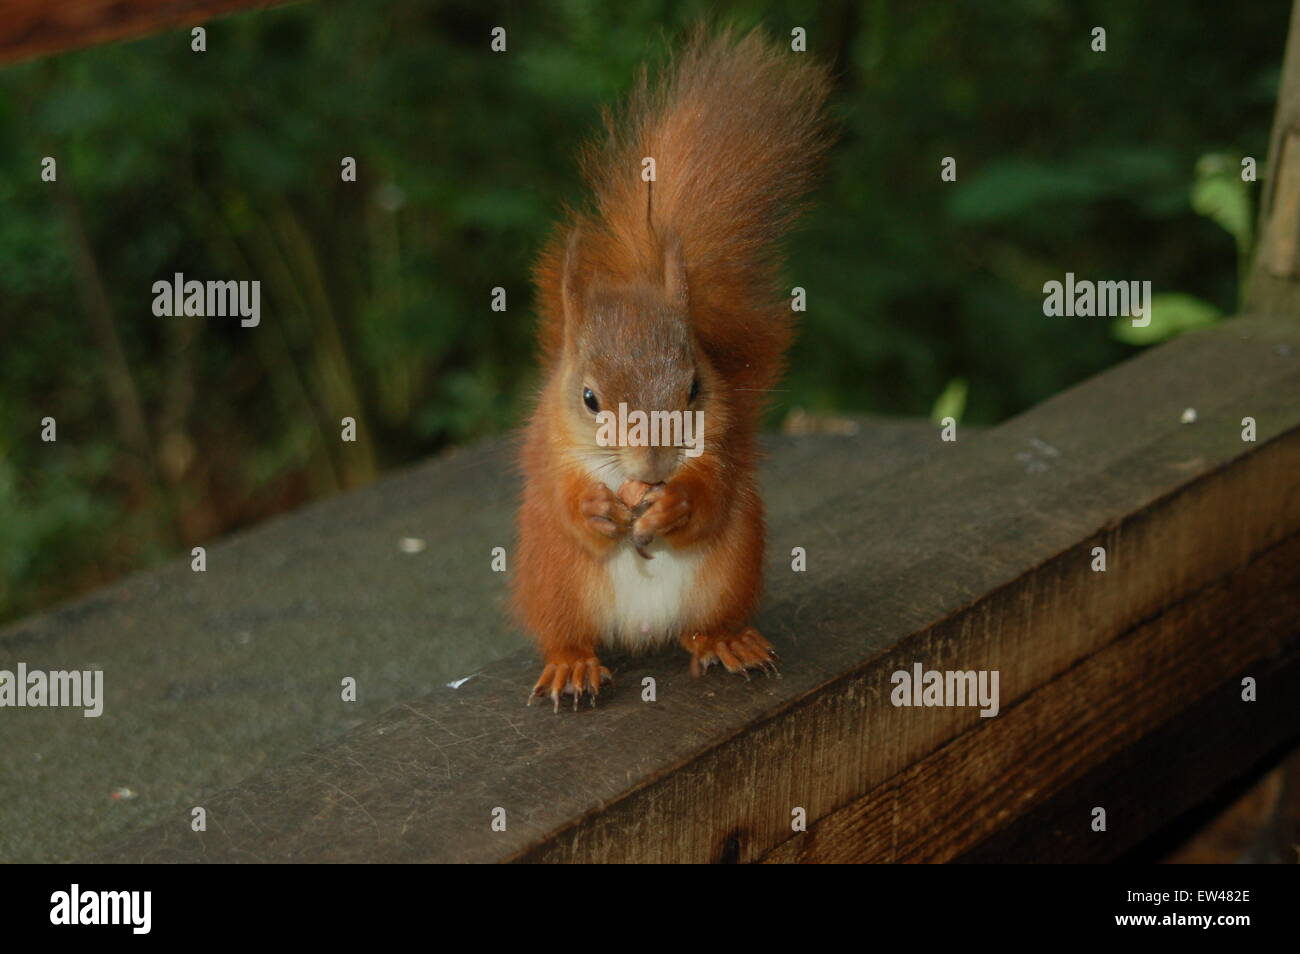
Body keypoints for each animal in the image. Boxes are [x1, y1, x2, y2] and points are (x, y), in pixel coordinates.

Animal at [509, 26, 826, 712]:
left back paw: (726, 641)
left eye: (696, 387)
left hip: (732, 566)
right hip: (550, 578)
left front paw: (676, 504)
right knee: (566, 631)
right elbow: (562, 497)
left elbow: (713, 493)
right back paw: (572, 663)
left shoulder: (725, 442)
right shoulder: (548, 448)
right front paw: (596, 509)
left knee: (704, 624)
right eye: (589, 399)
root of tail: (645, 633)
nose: (655, 467)